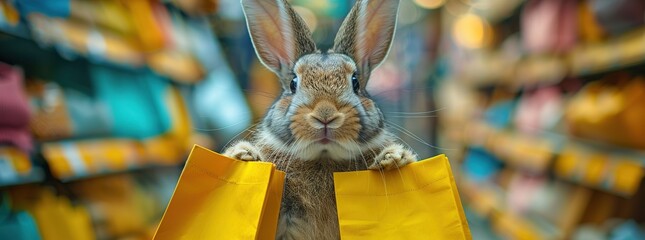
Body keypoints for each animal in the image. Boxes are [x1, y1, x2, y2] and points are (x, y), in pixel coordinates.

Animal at [223, 0, 418, 238]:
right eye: (293, 83)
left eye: (355, 82)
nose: (325, 114)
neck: (323, 157)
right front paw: (244, 155)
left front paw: (393, 159)